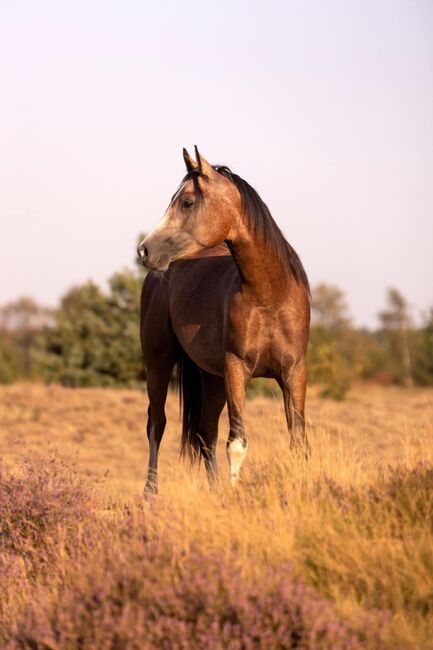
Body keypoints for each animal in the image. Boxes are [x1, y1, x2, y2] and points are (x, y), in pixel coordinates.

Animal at [137, 147, 308, 492]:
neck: (271, 294)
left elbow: (297, 439)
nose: (145, 250)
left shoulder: (295, 372)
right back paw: (150, 494)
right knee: (156, 424)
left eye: (187, 202)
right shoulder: (236, 370)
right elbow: (237, 443)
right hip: (159, 361)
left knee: (205, 432)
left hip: (212, 377)